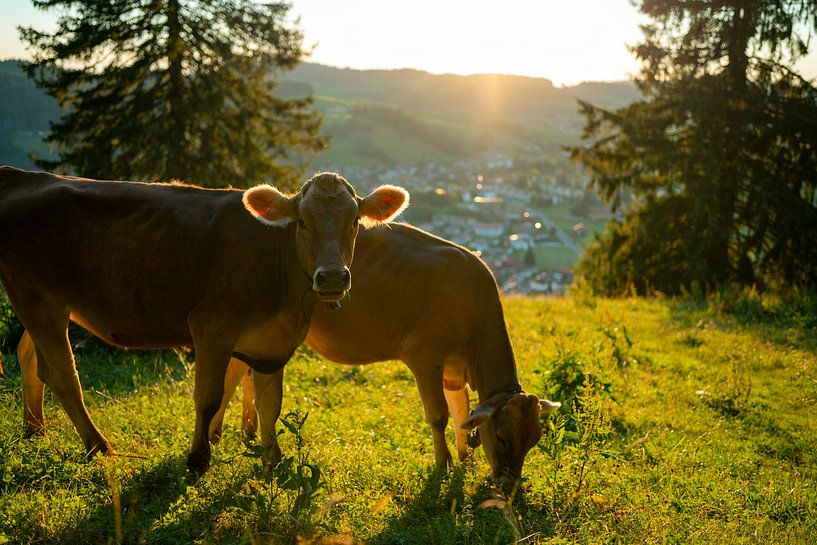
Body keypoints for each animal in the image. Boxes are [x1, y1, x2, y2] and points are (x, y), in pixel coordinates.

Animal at [0, 167, 408, 472]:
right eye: (302, 222)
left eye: (354, 221)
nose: (332, 278)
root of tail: (21, 175)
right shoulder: (212, 329)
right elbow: (209, 397)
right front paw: (198, 458)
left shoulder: (274, 341)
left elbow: (270, 403)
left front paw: (273, 460)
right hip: (38, 298)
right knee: (62, 373)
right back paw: (98, 445)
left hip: (48, 304)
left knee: (30, 357)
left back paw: (35, 430)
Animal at [214, 221, 556, 480]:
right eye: (501, 437)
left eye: (534, 440)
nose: (509, 486)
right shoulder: (425, 357)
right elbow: (439, 414)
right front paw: (443, 464)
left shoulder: (454, 369)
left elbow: (461, 409)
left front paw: (465, 459)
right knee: (232, 372)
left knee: (246, 371)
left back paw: (244, 431)